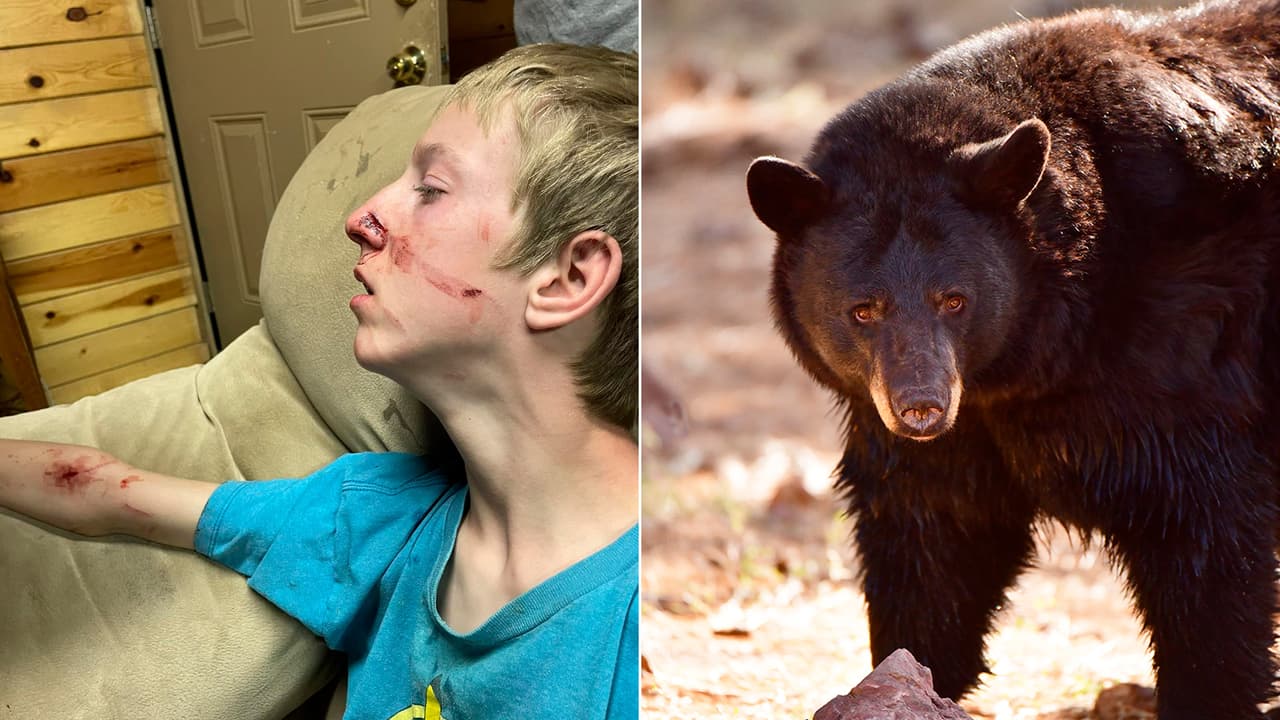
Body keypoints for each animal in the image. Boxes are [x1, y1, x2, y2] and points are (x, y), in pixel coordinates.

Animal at [745, 1, 1280, 718]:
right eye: (863, 310)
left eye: (954, 299)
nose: (921, 407)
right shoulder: (957, 431)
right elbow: (935, 538)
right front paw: (905, 677)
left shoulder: (1184, 352)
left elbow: (1206, 533)